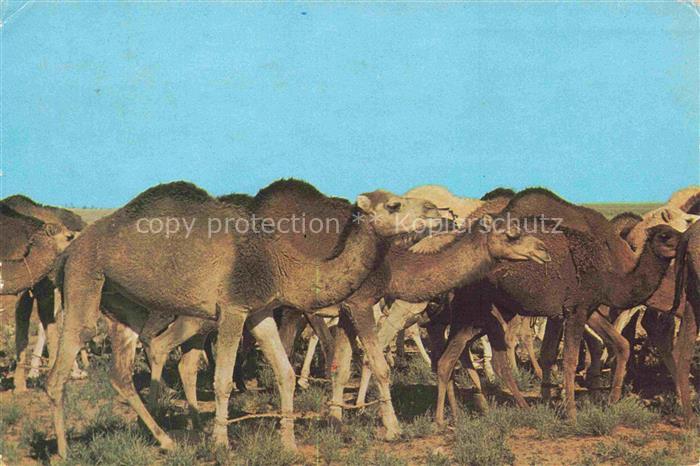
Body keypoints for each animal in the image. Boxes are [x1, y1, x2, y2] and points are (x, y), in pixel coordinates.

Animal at [46, 179, 446, 457]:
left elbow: (285, 373)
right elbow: (222, 379)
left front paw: (288, 443)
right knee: (63, 366)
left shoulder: (260, 311)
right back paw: (64, 451)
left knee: (121, 372)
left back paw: (165, 440)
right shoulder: (233, 308)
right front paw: (221, 442)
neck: (279, 263)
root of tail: (69, 249)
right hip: (85, 278)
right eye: (394, 204)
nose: (434, 211)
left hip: (121, 302)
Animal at [434, 189, 682, 424]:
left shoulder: (587, 308)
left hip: (482, 313)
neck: (609, 275)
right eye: (665, 235)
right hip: (483, 310)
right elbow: (568, 359)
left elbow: (620, 344)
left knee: (454, 356)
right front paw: (570, 412)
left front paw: (610, 401)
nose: (685, 241)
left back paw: (462, 412)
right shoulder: (574, 309)